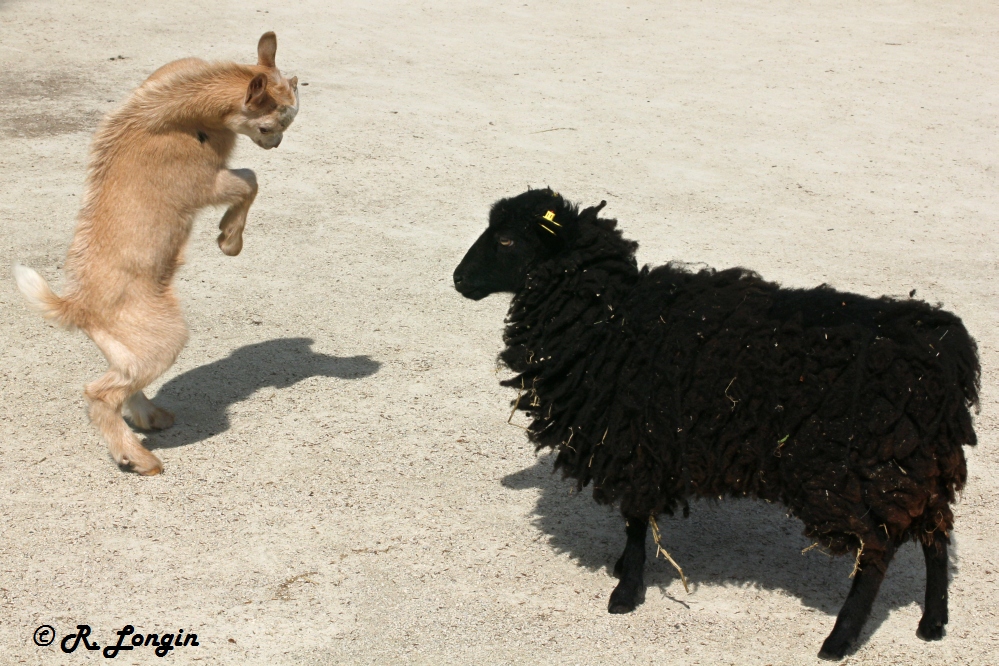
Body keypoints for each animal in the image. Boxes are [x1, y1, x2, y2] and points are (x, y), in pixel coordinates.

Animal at [456, 187, 984, 660]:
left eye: (506, 239)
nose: (458, 279)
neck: (610, 319)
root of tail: (947, 353)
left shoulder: (636, 442)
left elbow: (635, 519)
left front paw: (625, 592)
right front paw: (624, 569)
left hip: (849, 469)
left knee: (876, 550)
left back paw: (839, 640)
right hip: (917, 462)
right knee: (935, 533)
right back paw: (933, 622)